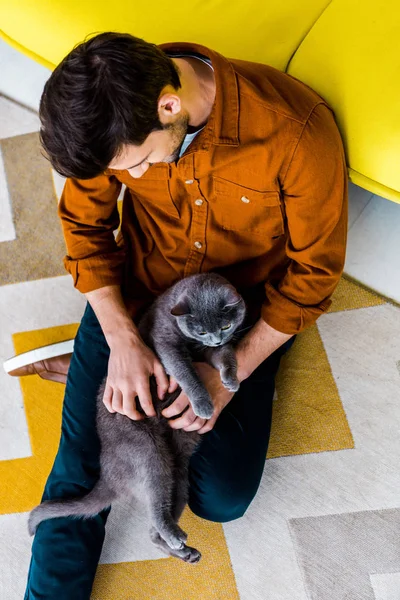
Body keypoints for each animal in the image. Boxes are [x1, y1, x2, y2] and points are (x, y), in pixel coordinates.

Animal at [27, 274, 247, 564]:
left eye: (225, 325)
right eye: (201, 331)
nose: (215, 339)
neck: (193, 342)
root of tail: (108, 475)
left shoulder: (213, 351)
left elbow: (226, 356)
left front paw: (231, 380)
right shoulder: (165, 344)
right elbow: (187, 373)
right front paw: (203, 405)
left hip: (178, 476)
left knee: (154, 531)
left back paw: (185, 551)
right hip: (147, 452)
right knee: (155, 510)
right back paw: (177, 538)